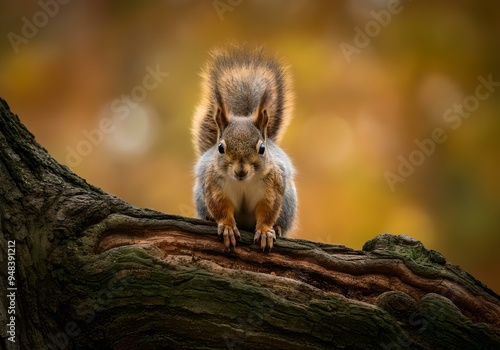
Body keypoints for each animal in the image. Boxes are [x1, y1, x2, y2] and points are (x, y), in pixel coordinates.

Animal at [189, 45, 294, 252]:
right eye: (221, 148)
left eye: (262, 148)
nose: (240, 171)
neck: (243, 182)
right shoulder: (214, 187)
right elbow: (221, 208)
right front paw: (227, 227)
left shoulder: (273, 188)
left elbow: (268, 211)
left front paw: (265, 231)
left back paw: (278, 228)